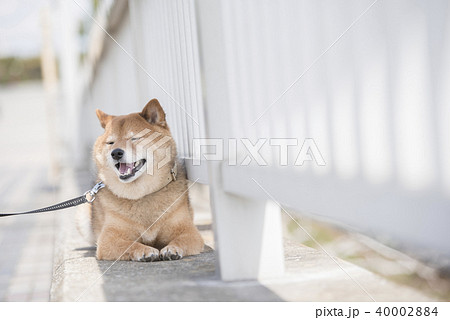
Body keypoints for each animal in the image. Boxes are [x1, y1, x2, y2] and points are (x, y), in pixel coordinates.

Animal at [81, 99, 205, 262]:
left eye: (134, 138)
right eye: (110, 143)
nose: (116, 153)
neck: (141, 195)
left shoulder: (190, 232)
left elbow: (181, 240)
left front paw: (172, 249)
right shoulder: (109, 239)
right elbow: (129, 245)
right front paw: (145, 251)